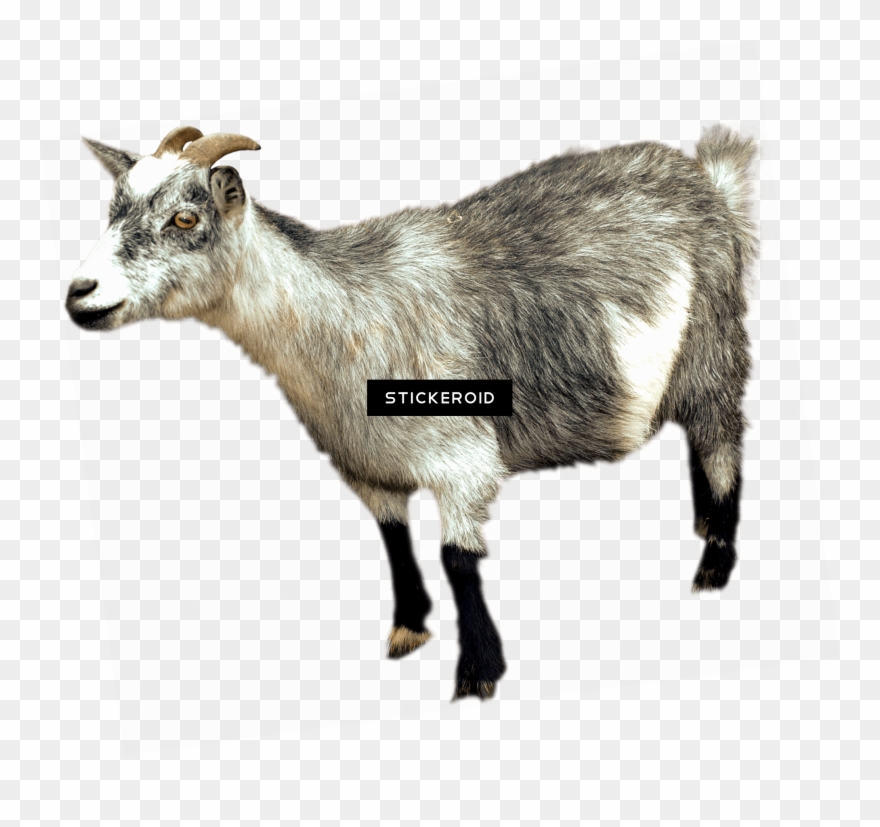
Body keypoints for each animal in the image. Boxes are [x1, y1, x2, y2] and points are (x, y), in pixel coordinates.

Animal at [66, 125, 758, 699]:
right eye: (113, 210)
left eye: (185, 217)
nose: (80, 293)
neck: (341, 318)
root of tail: (709, 178)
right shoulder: (366, 462)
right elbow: (393, 538)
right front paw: (408, 629)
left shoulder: (465, 461)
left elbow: (458, 560)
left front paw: (478, 673)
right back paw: (703, 525)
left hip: (713, 344)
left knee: (722, 441)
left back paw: (714, 562)